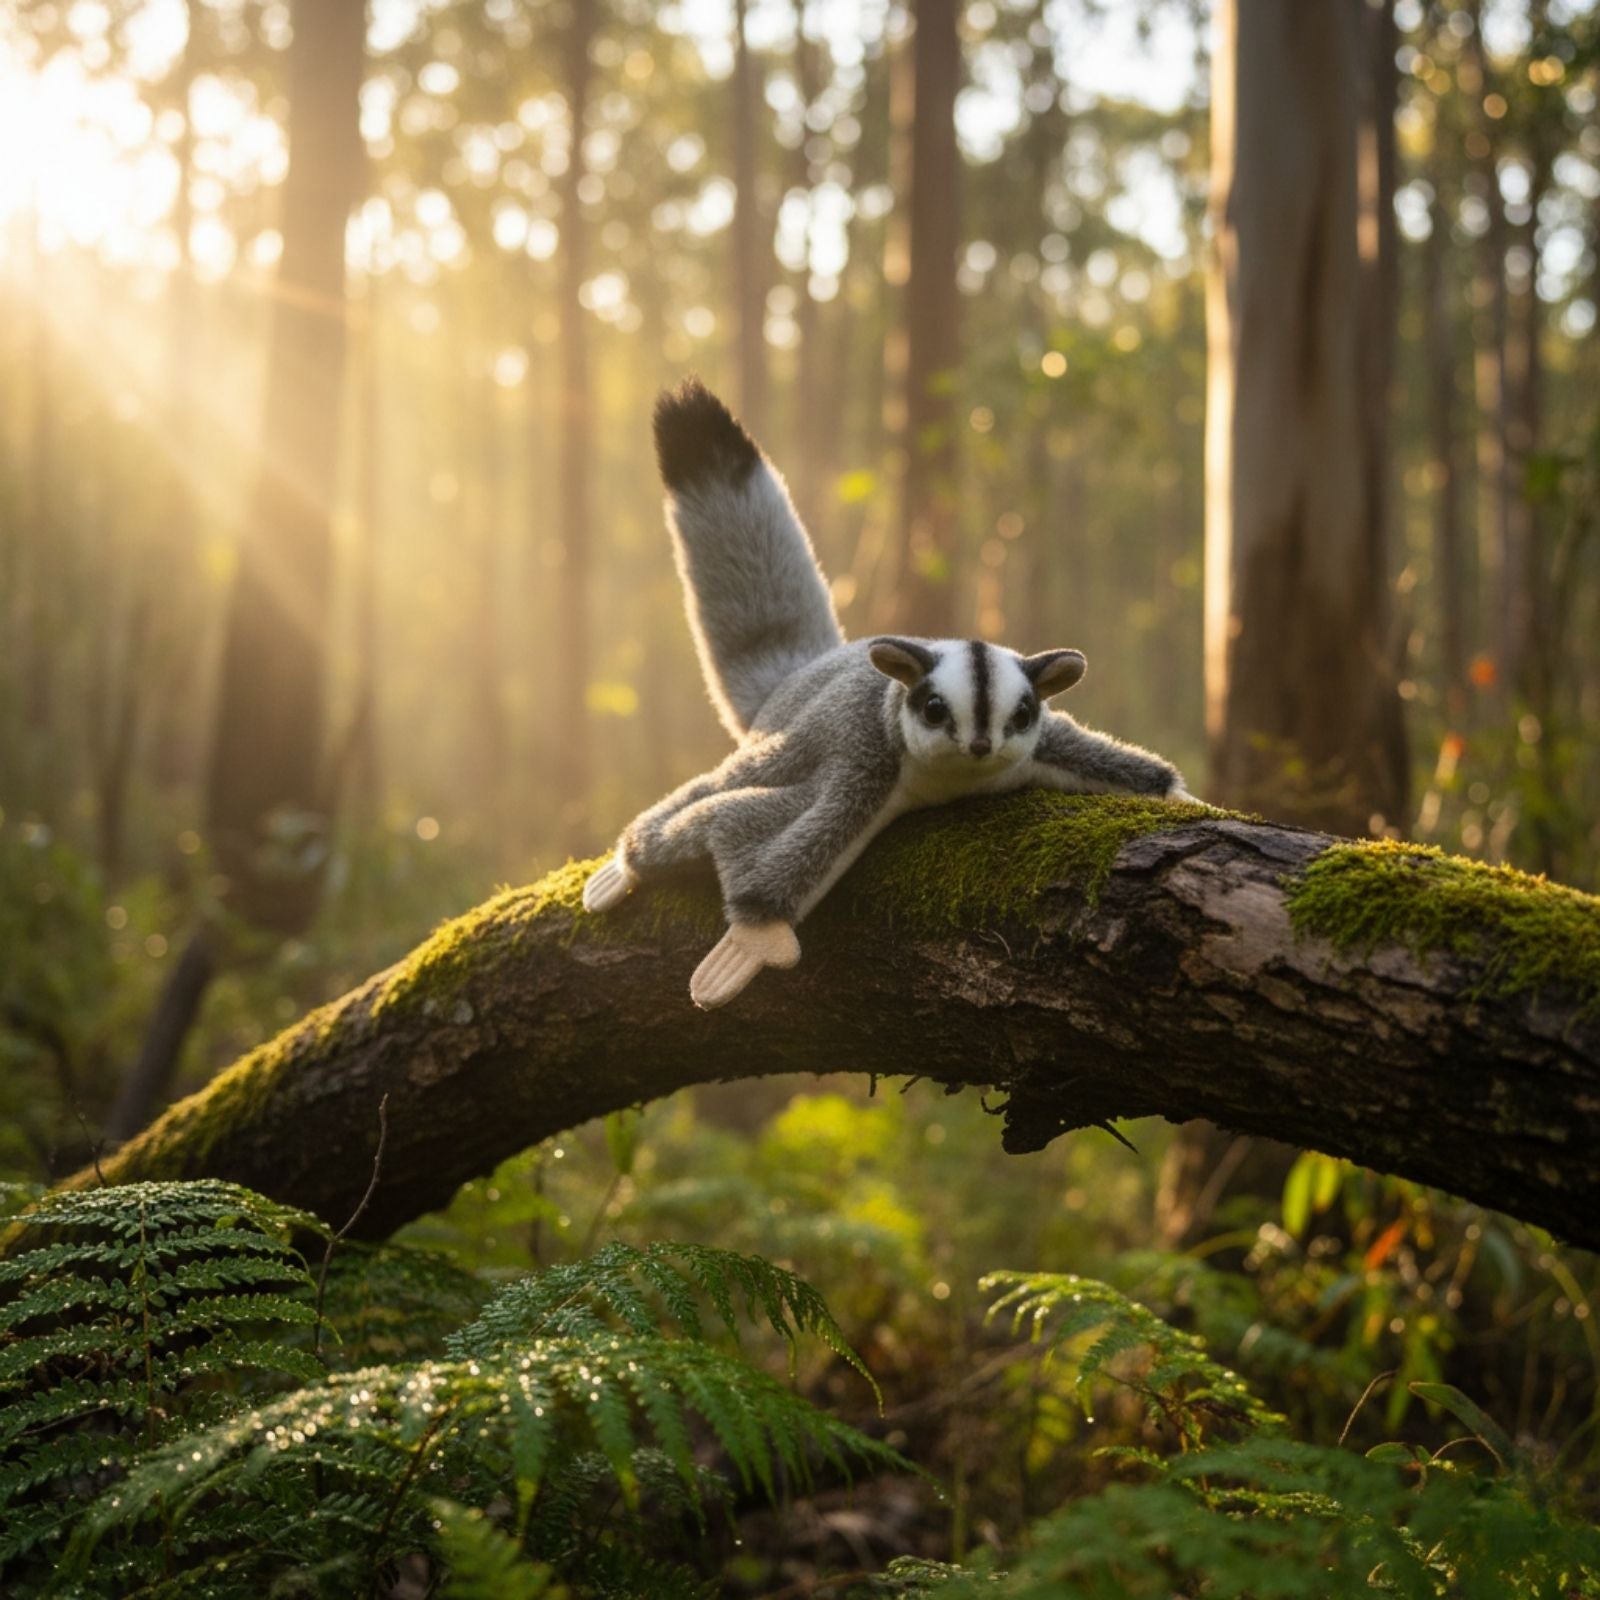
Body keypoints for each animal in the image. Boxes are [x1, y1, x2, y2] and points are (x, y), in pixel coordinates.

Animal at [582, 378, 1201, 1009]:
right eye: (933, 709)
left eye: (1024, 713)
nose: (981, 745)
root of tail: (806, 672)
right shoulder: (865, 760)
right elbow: (756, 825)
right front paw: (757, 936)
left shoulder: (1047, 744)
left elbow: (1107, 759)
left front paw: (1179, 796)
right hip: (778, 747)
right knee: (709, 799)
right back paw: (626, 867)